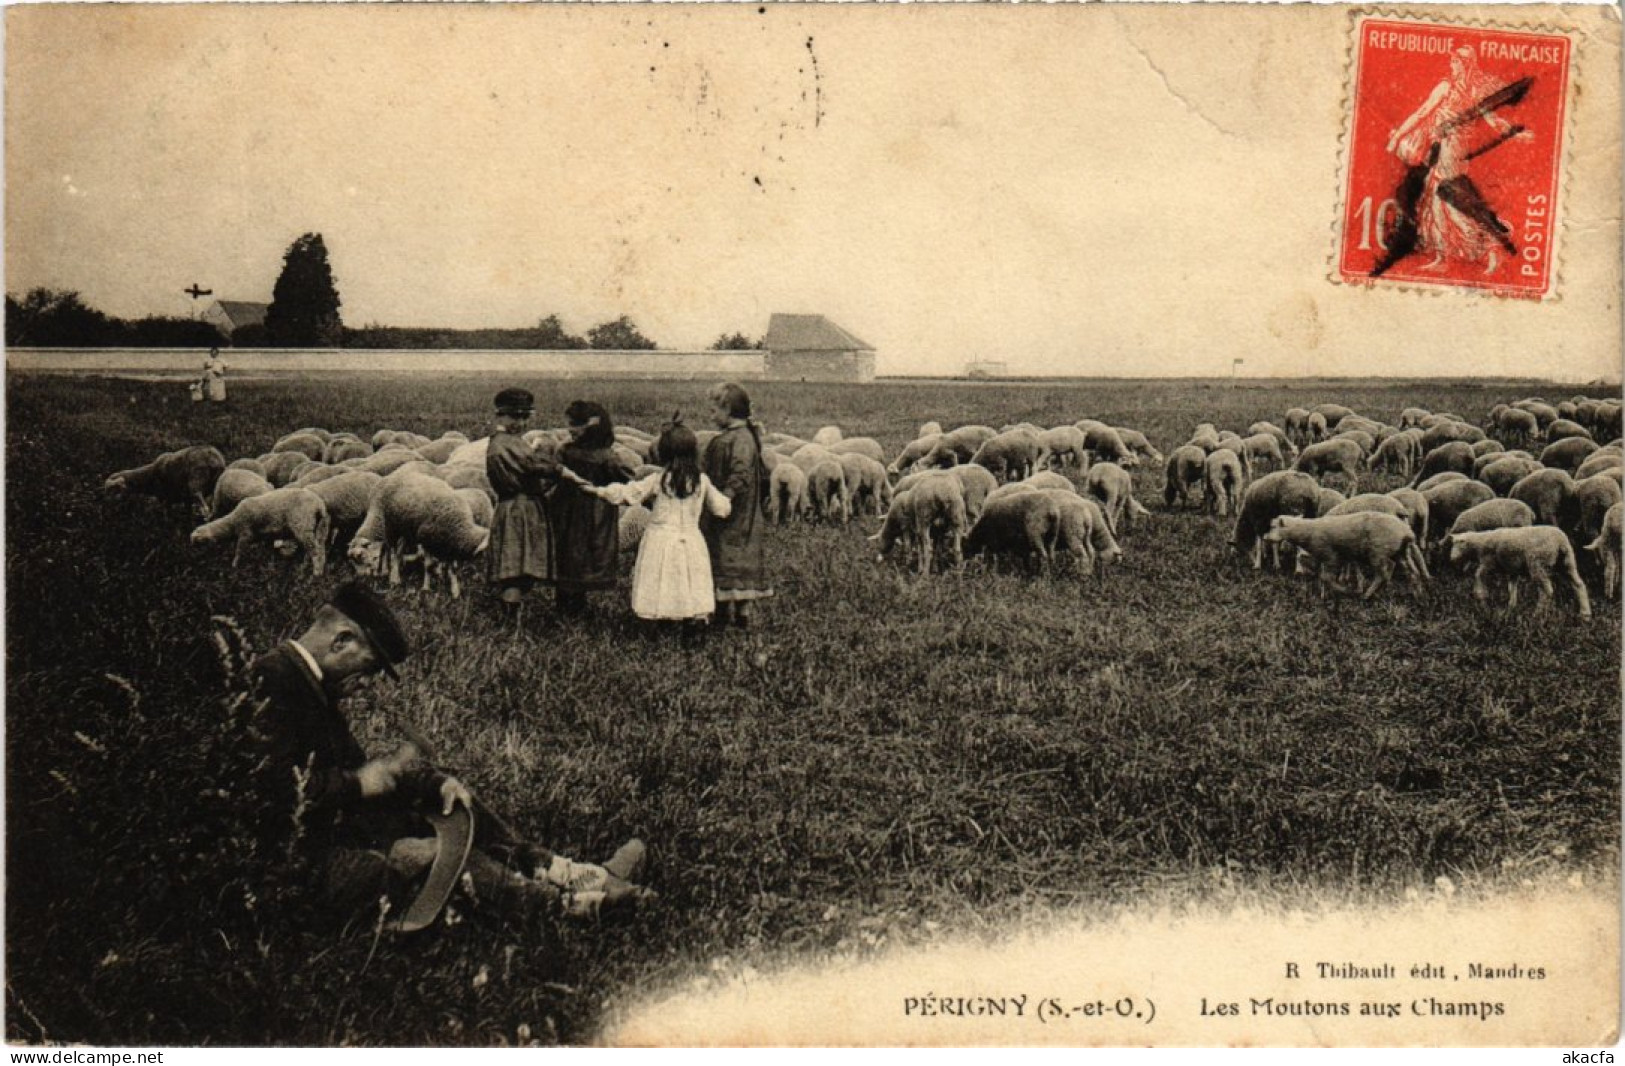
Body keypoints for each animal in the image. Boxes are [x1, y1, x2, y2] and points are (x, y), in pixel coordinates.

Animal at [190, 490, 329, 575]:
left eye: (197, 540)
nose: (194, 553)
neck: (232, 523)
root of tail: (319, 505)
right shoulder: (266, 536)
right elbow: (269, 553)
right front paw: (269, 568)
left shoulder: (245, 532)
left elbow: (239, 551)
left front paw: (234, 566)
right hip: (319, 527)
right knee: (319, 549)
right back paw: (308, 569)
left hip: (302, 524)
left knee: (315, 550)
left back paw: (315, 573)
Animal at [1261, 513, 1430, 598]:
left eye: (1273, 526)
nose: (1265, 538)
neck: (1307, 532)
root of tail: (1406, 531)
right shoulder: (1331, 557)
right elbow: (1321, 576)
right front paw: (1324, 594)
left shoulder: (1331, 556)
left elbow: (1326, 577)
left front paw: (1344, 589)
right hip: (1399, 552)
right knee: (1411, 572)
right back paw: (1417, 594)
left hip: (1378, 551)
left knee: (1382, 574)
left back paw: (1367, 594)